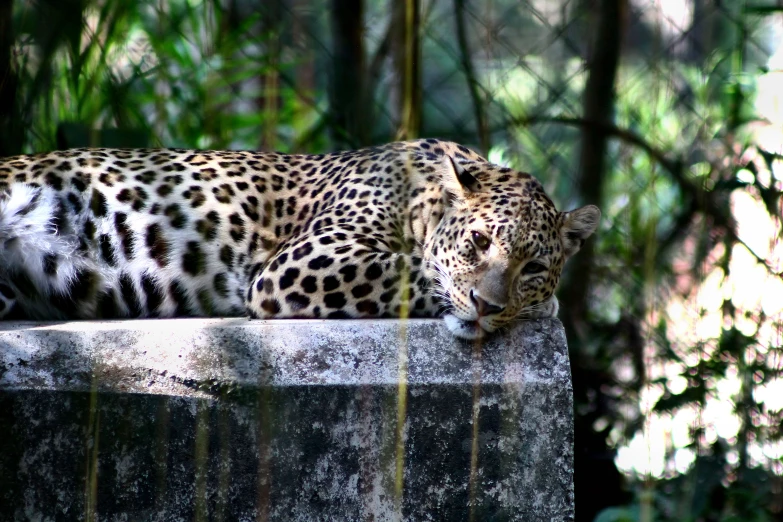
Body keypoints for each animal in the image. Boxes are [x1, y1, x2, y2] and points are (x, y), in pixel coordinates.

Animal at [0, 138, 600, 340]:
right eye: (477, 241)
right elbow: (410, 268)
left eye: (533, 269)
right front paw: (539, 309)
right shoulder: (303, 261)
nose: (488, 306)